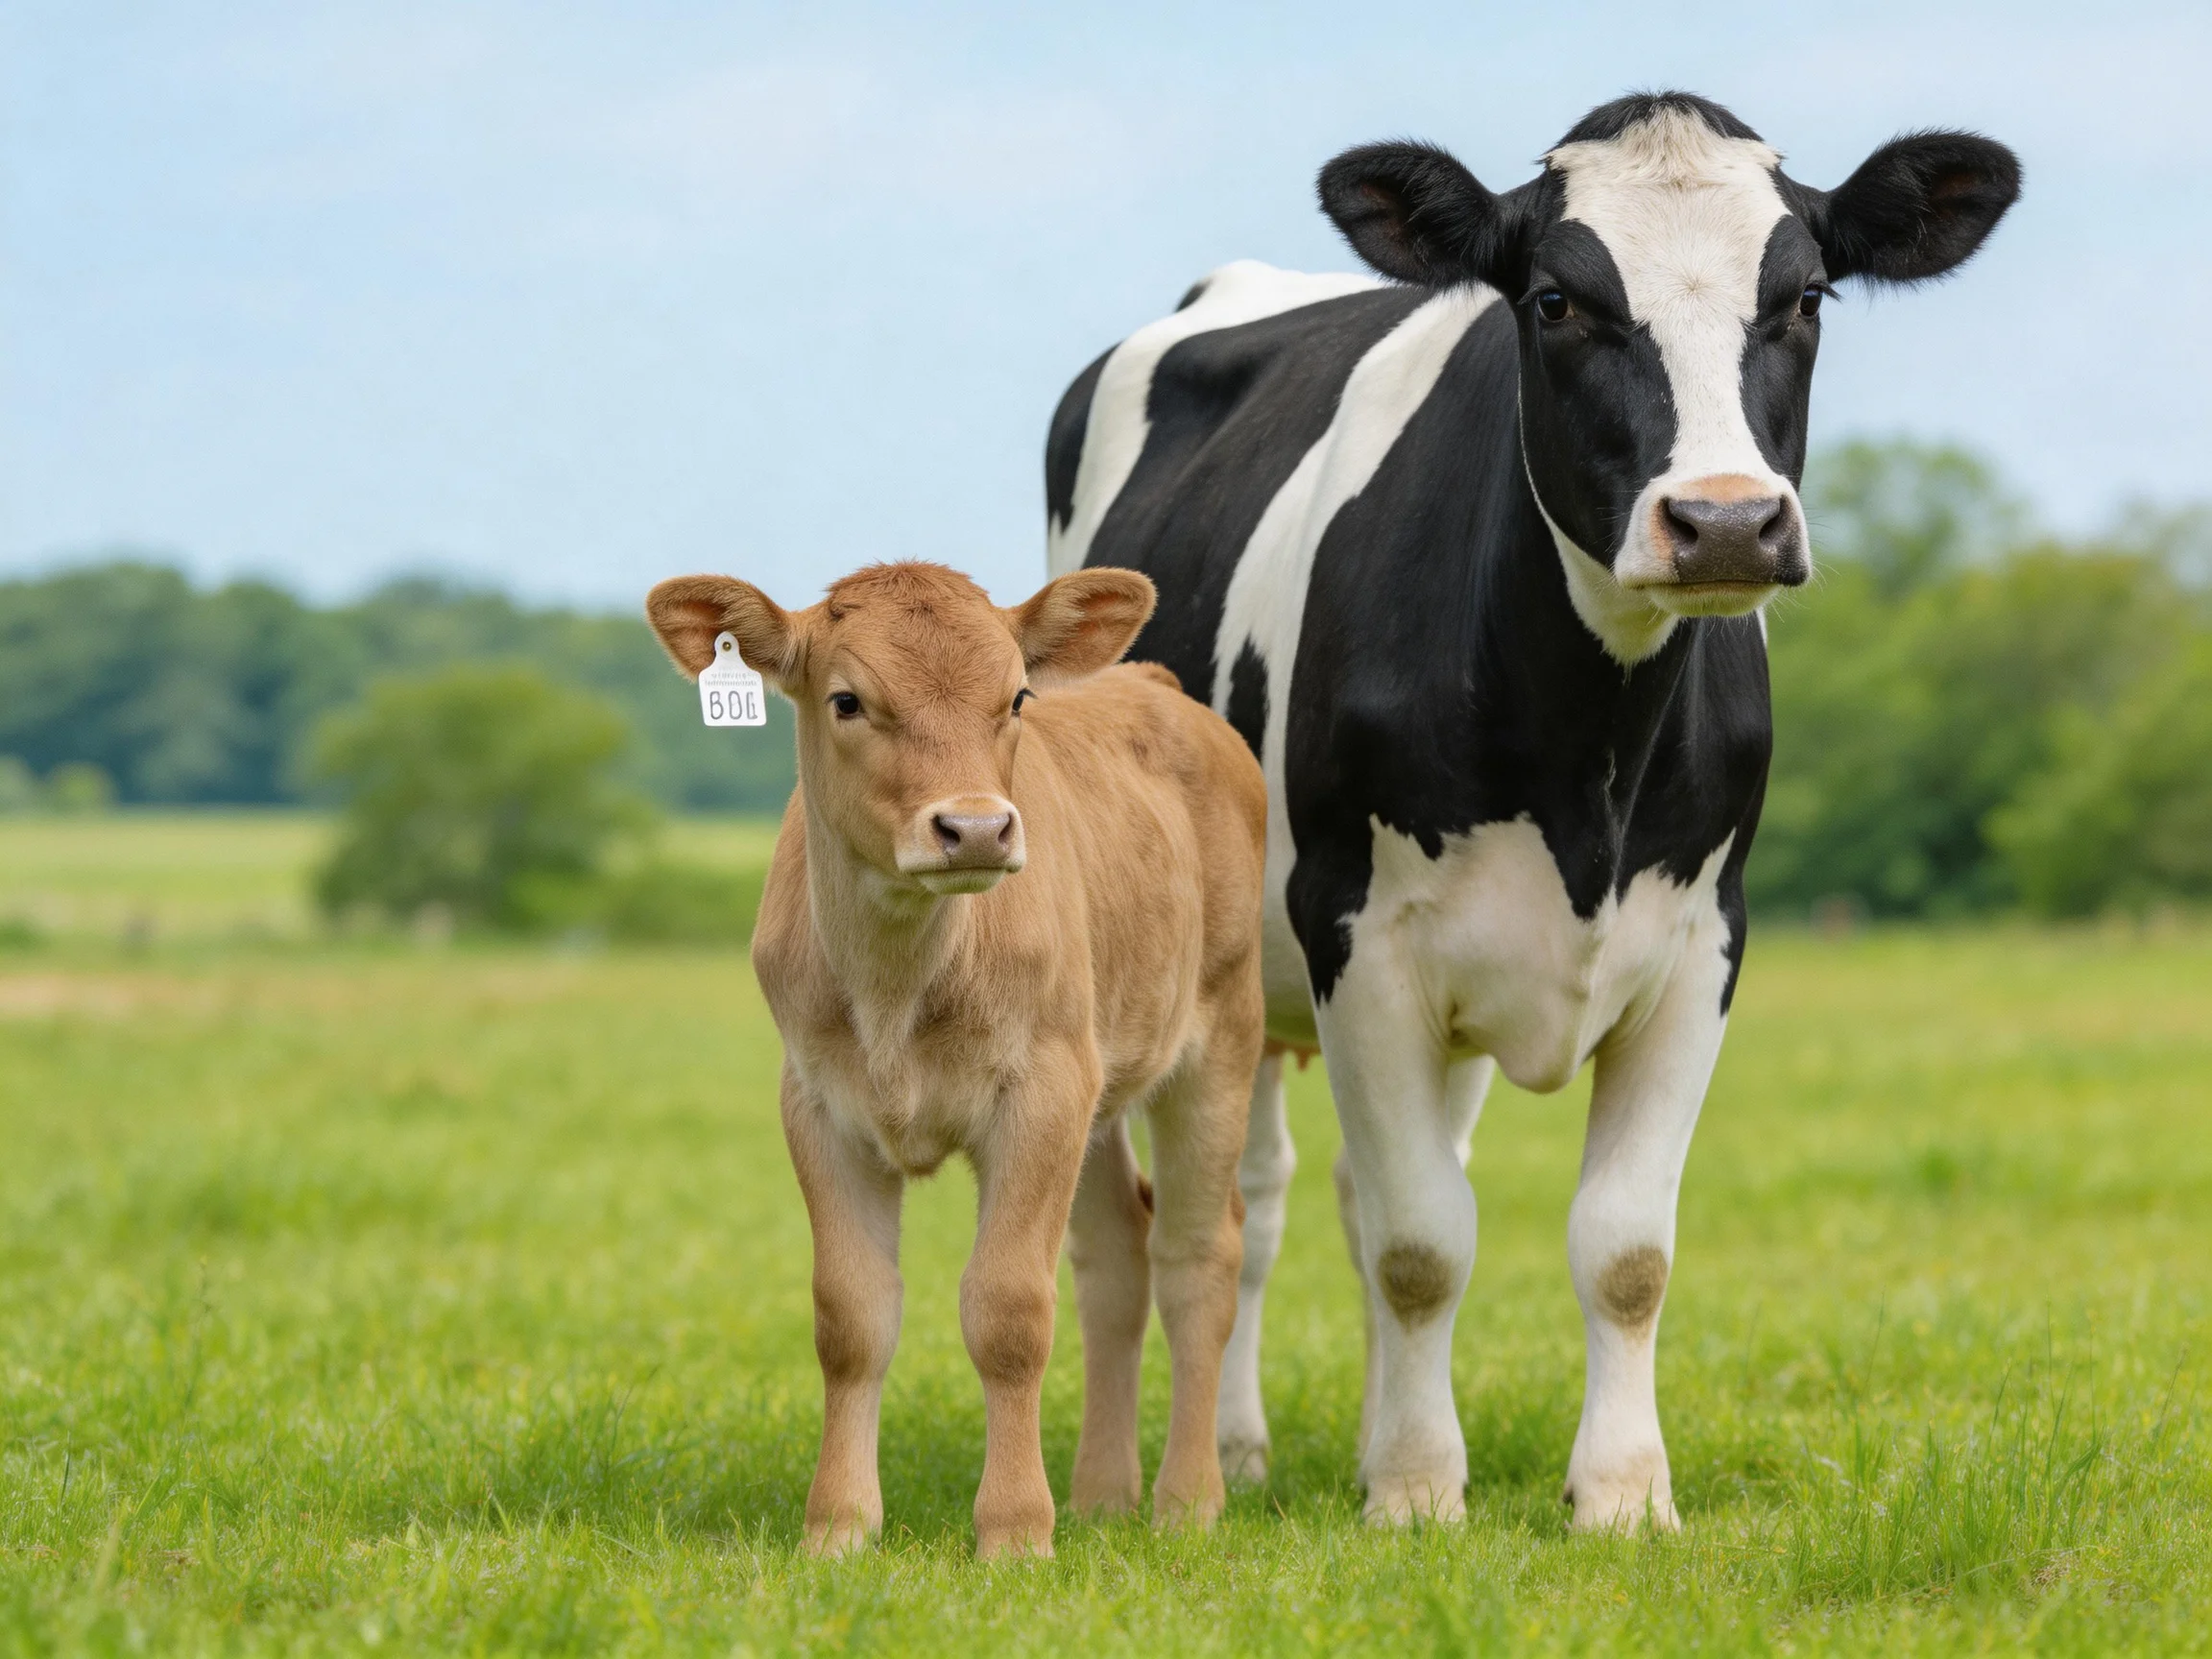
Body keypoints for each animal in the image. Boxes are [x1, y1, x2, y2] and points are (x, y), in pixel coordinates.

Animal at [647, 561, 1267, 1558]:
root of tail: (1156, 685)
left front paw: (1014, 1531)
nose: (975, 829)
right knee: (1116, 1261)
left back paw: (1187, 1502)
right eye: (848, 700)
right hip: (1098, 1091)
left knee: (1198, 1257)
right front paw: (839, 1527)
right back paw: (1102, 1495)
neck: (898, 981)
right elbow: (851, 1315)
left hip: (1219, 1039)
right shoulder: (817, 1104)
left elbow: (1009, 1310)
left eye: (1015, 697)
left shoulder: (1041, 1093)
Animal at [1043, 92, 2018, 1529]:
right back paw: (1235, 1447)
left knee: (1334, 1191)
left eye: (1806, 296)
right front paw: (1415, 1494)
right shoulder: (1356, 935)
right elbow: (1421, 1243)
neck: (1587, 763)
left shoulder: (1702, 945)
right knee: (1244, 1203)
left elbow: (1620, 1247)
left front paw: (1620, 1496)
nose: (1725, 522)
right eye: (1558, 300)